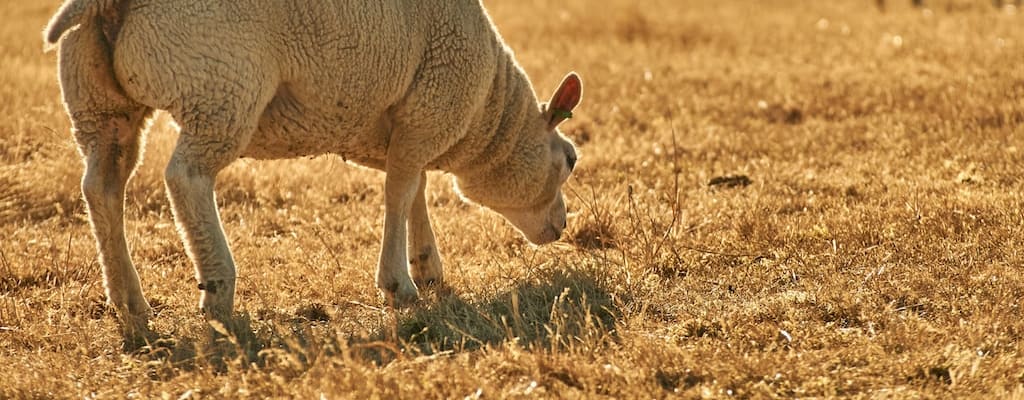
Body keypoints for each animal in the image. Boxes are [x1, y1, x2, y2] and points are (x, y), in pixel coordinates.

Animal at [44, 0, 585, 343]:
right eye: (571, 159)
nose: (562, 226)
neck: (487, 113)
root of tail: (105, 4)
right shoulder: (429, 106)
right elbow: (400, 192)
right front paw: (400, 285)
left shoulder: (404, 123)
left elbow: (414, 188)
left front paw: (427, 266)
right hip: (218, 83)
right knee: (185, 179)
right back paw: (217, 288)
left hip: (95, 97)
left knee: (102, 186)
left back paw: (129, 302)